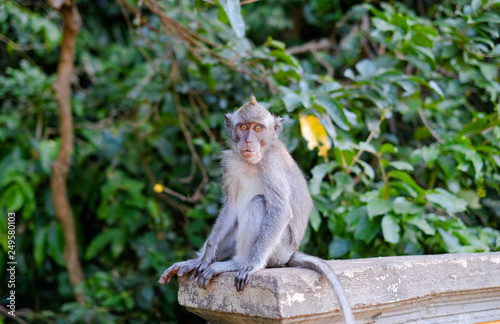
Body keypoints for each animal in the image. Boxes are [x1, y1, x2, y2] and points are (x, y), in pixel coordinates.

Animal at [158, 95, 354, 322]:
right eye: (243, 127)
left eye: (258, 128)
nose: (248, 140)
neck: (252, 161)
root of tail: (291, 252)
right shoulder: (229, 163)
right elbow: (231, 207)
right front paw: (205, 257)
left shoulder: (271, 164)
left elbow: (280, 209)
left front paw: (251, 265)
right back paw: (197, 262)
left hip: (278, 249)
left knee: (259, 203)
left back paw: (238, 262)